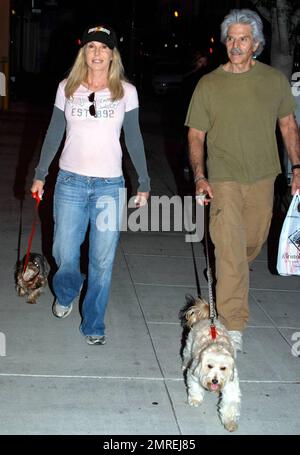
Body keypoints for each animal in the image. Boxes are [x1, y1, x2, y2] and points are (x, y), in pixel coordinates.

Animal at [180, 298, 241, 432]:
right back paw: (184, 365)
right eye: (209, 366)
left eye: (223, 368)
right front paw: (195, 399)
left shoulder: (231, 383)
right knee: (186, 355)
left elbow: (230, 403)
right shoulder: (194, 372)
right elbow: (195, 387)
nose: (214, 381)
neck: (216, 345)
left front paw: (230, 422)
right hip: (189, 346)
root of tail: (209, 319)